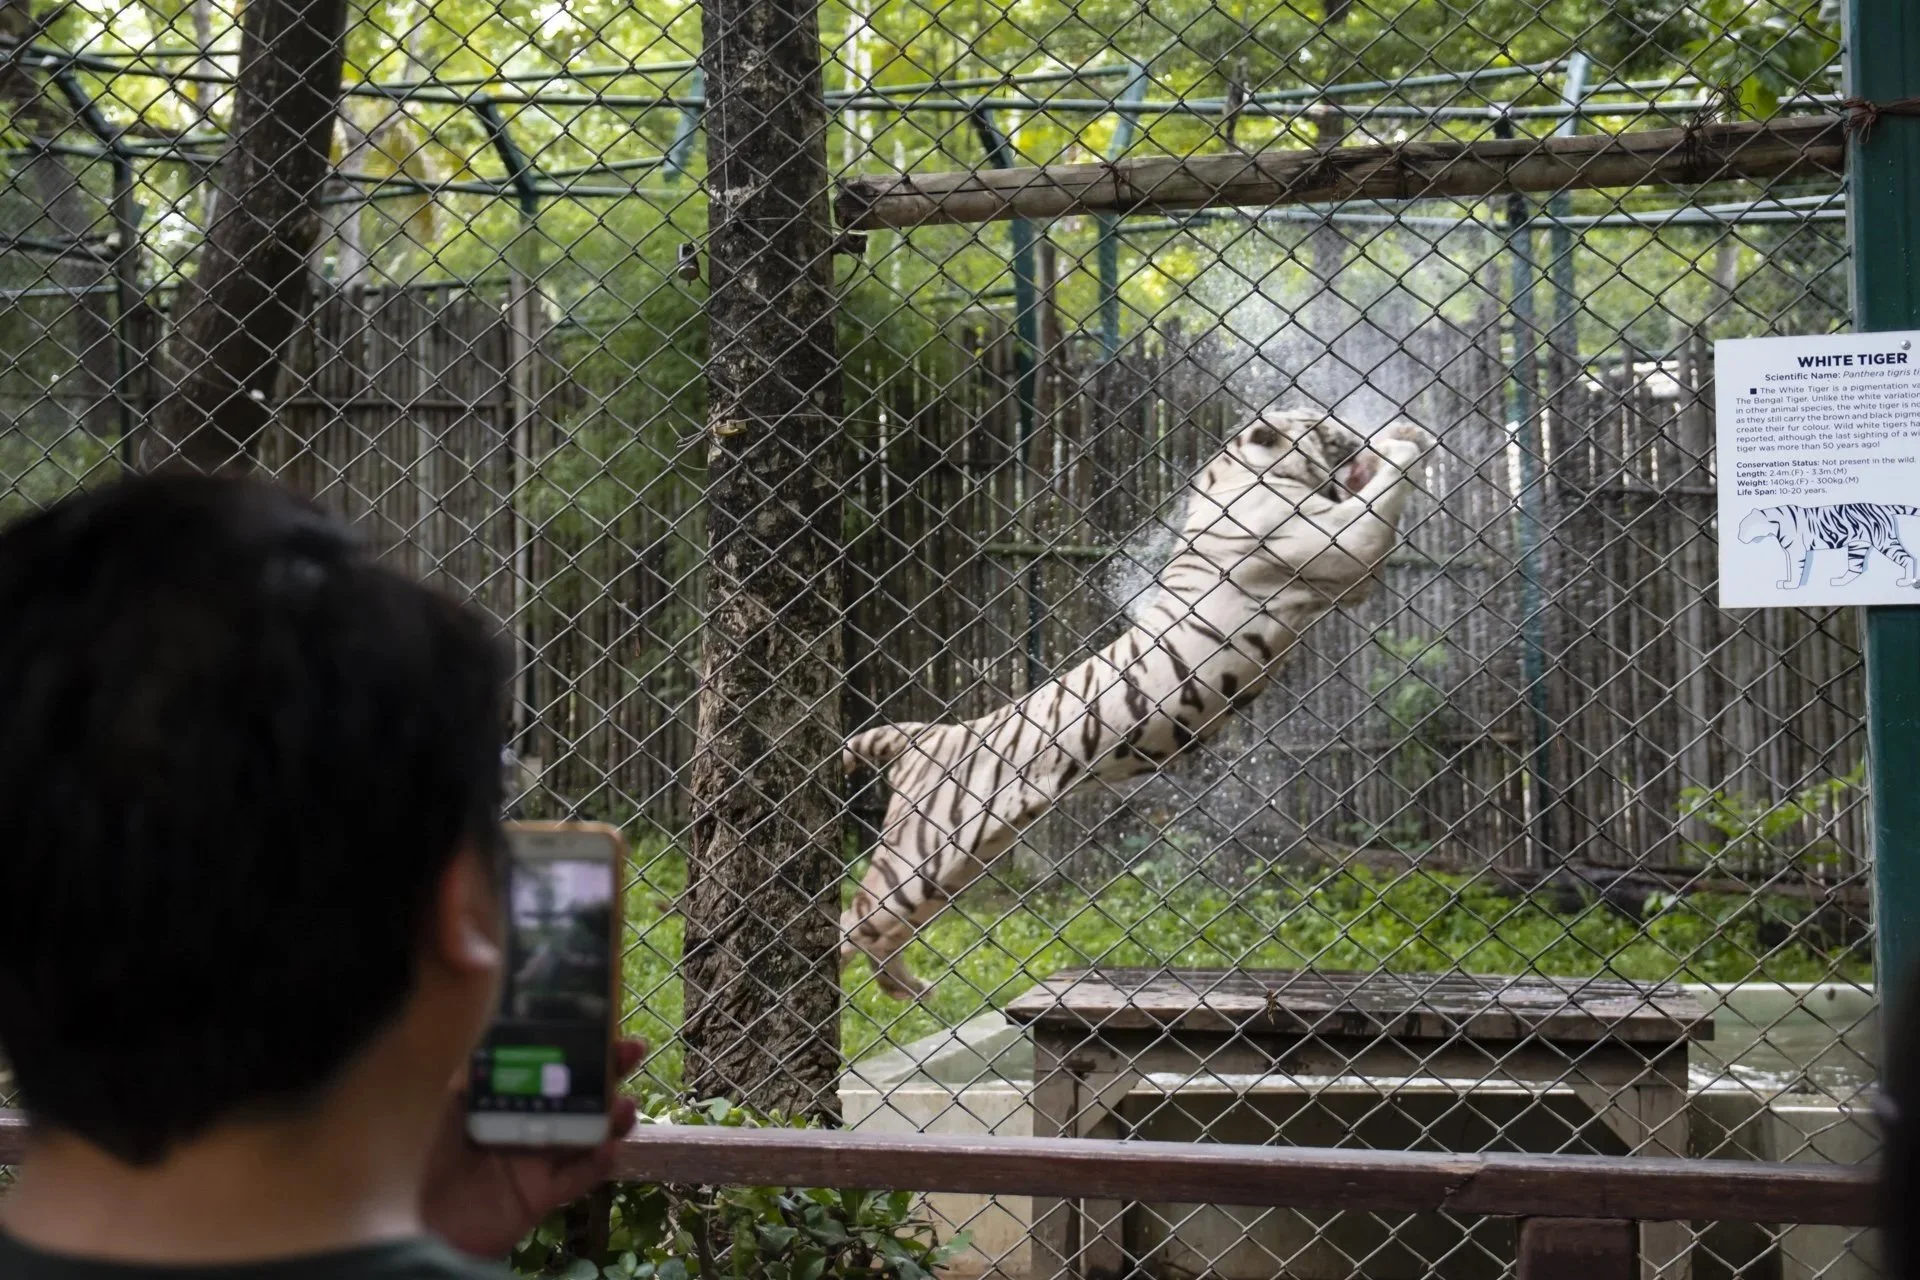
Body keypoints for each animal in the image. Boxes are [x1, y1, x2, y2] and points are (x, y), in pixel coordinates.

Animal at [840, 408, 1436, 998]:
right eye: (1318, 424)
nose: (1350, 434)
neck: (1239, 474)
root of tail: (927, 734)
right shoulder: (1339, 542)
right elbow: (1380, 492)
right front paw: (1406, 441)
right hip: (917, 859)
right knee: (852, 918)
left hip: (955, 867)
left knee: (881, 931)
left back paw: (911, 988)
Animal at [1737, 502, 1920, 590]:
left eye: (1746, 527)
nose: (1738, 538)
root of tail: (1882, 507)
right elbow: (1789, 568)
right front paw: (1786, 582)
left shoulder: (1797, 551)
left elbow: (1796, 569)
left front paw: (1791, 585)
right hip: (1857, 546)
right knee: (1856, 568)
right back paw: (1838, 581)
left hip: (1884, 541)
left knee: (1908, 558)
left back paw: (1905, 582)